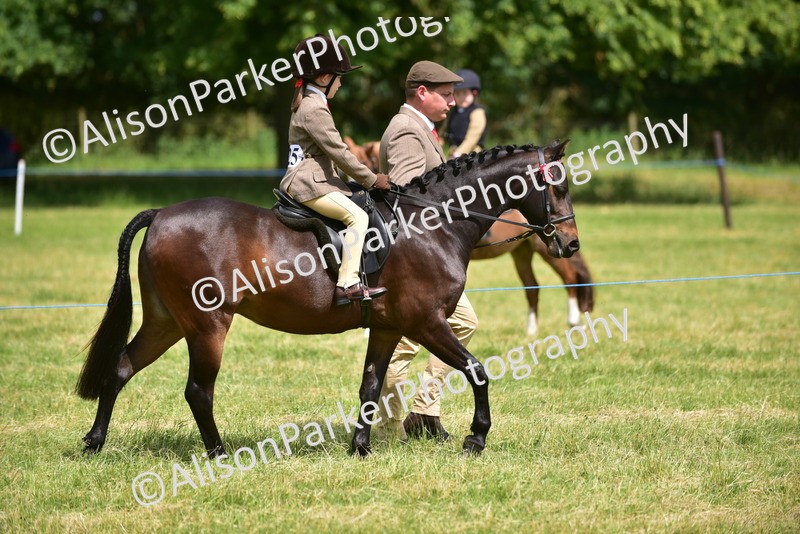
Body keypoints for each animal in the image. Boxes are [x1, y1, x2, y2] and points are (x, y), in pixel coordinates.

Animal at [75, 141, 580, 458]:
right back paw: (218, 454)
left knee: (120, 367)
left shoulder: (389, 327)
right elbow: (477, 370)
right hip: (206, 325)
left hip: (165, 322)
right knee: (198, 391)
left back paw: (95, 441)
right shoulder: (427, 323)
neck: (432, 224)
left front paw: (361, 448)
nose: (570, 244)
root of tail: (161, 215)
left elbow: (371, 386)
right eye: (558, 186)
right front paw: (476, 438)